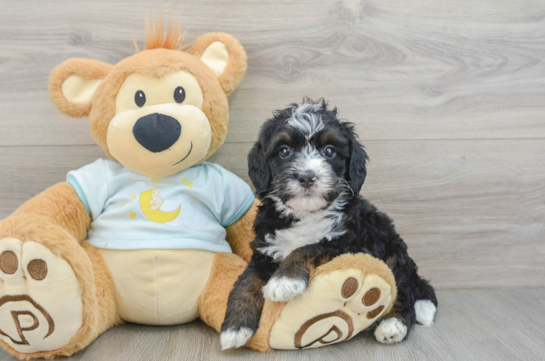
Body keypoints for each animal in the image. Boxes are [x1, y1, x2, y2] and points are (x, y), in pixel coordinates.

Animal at [219, 99, 436, 348]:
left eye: (329, 151)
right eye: (284, 151)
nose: (306, 176)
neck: (306, 213)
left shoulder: (351, 244)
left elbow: (311, 247)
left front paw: (284, 280)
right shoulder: (265, 249)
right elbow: (247, 280)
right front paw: (234, 328)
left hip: (393, 254)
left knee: (403, 290)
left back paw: (393, 325)